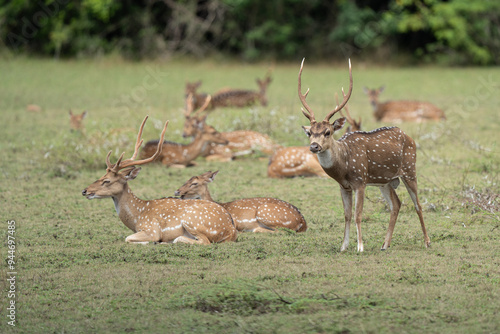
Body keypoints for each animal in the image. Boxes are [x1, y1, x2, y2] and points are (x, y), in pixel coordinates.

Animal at [82, 116, 238, 244]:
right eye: (101, 176)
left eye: (107, 181)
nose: (85, 191)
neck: (136, 218)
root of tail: (231, 230)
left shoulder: (151, 229)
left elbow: (128, 238)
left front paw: (153, 242)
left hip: (192, 221)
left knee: (202, 241)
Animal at [296, 58, 430, 252]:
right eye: (310, 133)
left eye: (328, 132)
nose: (314, 146)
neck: (344, 166)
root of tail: (410, 137)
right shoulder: (344, 186)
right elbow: (347, 215)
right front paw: (343, 246)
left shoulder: (360, 181)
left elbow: (358, 214)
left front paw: (360, 247)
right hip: (385, 181)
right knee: (396, 204)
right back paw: (385, 244)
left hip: (410, 169)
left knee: (418, 204)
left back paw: (427, 241)